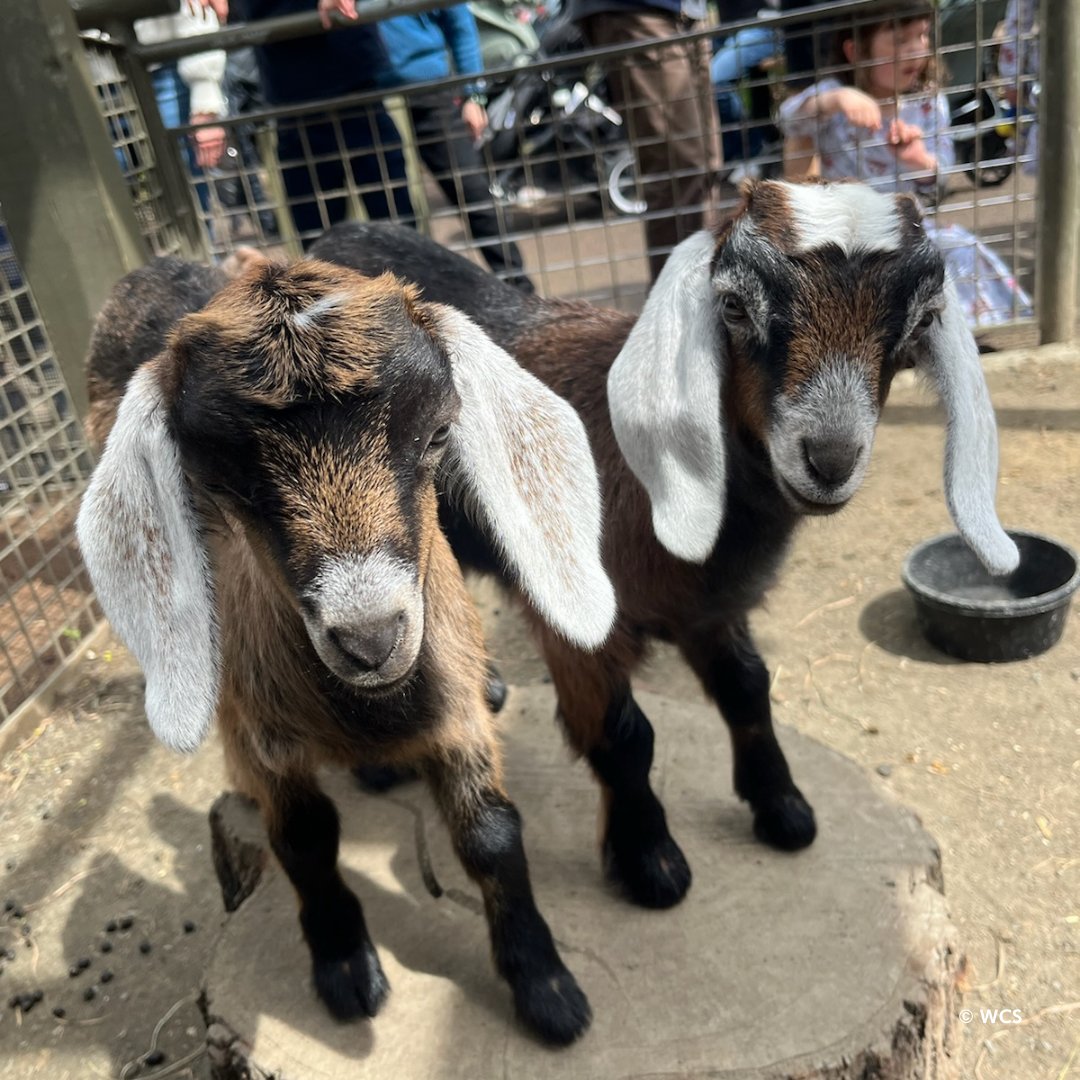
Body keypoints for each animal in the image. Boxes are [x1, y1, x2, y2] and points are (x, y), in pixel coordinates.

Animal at [76, 254, 617, 1045]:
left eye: (437, 434)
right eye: (219, 484)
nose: (371, 639)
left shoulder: (453, 707)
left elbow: (490, 832)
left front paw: (547, 989)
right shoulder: (263, 733)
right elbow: (302, 839)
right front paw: (345, 970)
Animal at [308, 179, 1015, 911]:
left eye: (921, 321)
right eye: (734, 305)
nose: (830, 458)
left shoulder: (709, 607)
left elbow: (748, 689)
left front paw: (782, 808)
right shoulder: (580, 629)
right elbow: (625, 737)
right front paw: (650, 862)